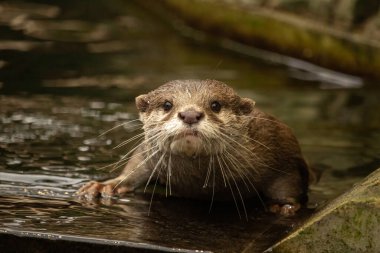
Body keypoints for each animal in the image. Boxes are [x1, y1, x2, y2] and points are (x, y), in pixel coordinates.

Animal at [76, 79, 308, 215]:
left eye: (215, 105)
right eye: (167, 104)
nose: (189, 114)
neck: (198, 182)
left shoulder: (280, 147)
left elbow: (286, 179)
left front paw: (283, 205)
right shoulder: (150, 154)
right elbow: (135, 167)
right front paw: (104, 186)